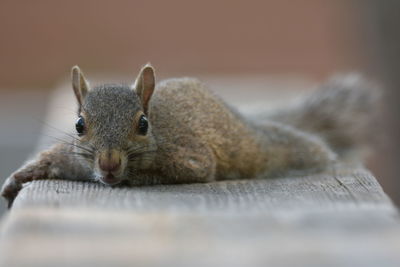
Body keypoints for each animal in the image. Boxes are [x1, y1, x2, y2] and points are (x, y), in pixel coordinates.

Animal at [1, 64, 380, 207]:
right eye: (80, 125)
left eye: (143, 124)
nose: (108, 165)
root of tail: (245, 119)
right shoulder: (74, 156)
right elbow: (52, 158)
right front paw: (18, 177)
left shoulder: (191, 158)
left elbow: (181, 171)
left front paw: (133, 178)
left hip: (274, 148)